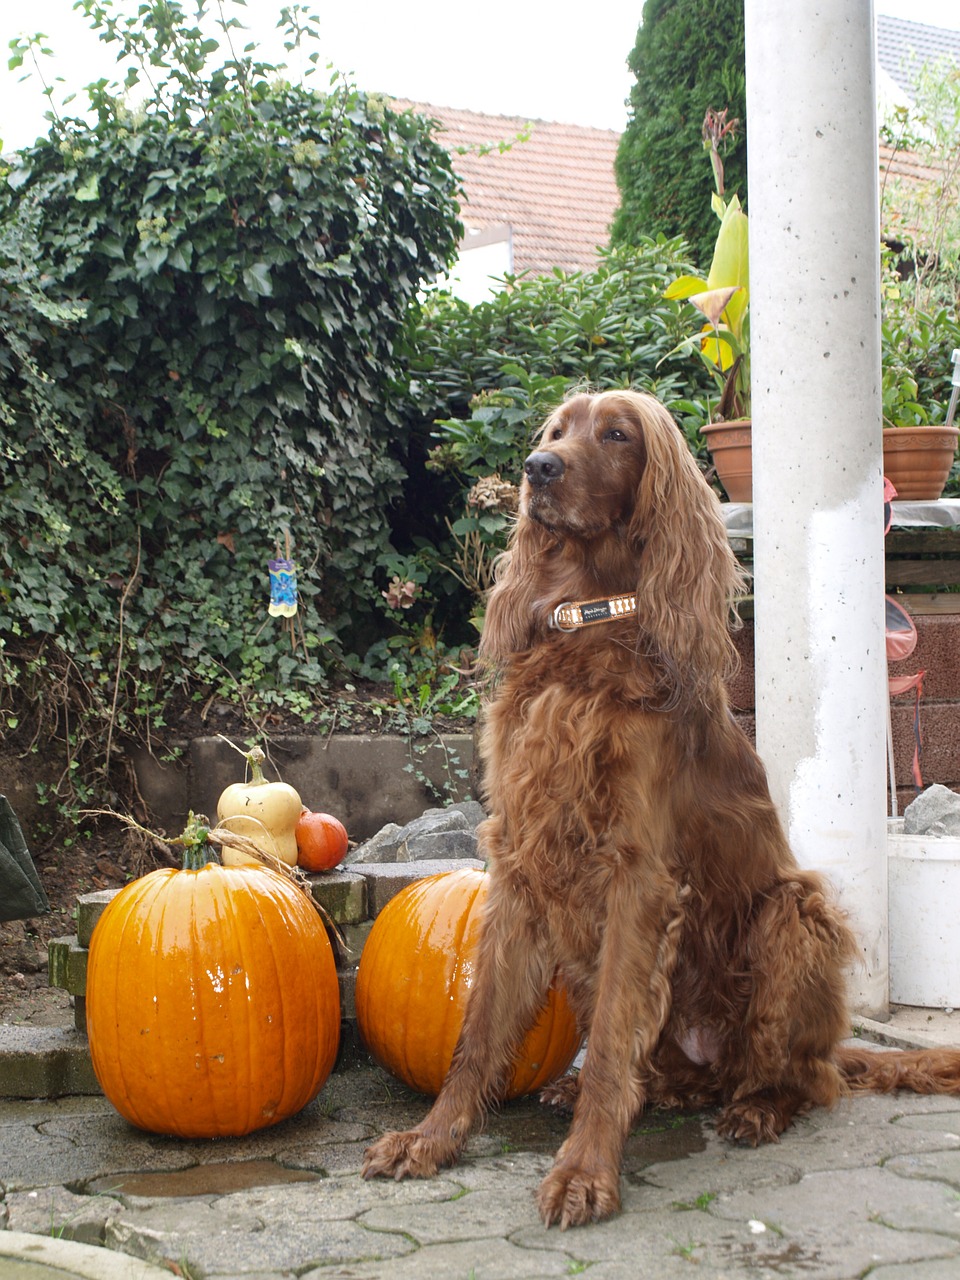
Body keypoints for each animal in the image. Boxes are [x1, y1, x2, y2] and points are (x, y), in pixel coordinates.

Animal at [363, 389, 960, 1228]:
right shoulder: (522, 862)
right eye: (556, 431)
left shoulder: (637, 875)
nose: (537, 468)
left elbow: (614, 1041)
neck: (589, 620)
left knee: (804, 1078)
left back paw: (756, 1109)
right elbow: (478, 1031)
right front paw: (431, 1138)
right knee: (685, 1072)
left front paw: (584, 1171)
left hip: (793, 914)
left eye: (616, 434)